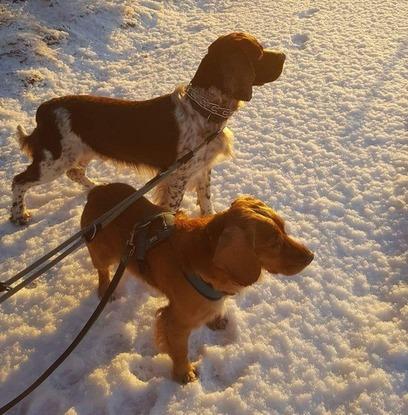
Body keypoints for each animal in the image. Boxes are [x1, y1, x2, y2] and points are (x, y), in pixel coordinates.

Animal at [9, 33, 284, 226]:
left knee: (74, 173)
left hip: (81, 152)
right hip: (53, 161)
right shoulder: (177, 176)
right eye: (258, 53)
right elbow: (172, 209)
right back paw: (19, 215)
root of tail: (45, 108)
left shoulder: (203, 167)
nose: (283, 55)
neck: (201, 108)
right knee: (19, 181)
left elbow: (206, 200)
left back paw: (97, 188)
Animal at [81, 184, 314, 386]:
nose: (311, 256)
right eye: (274, 243)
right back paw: (105, 290)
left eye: (284, 228)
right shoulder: (174, 321)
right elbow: (180, 351)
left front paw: (215, 320)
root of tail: (96, 190)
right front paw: (184, 373)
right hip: (102, 254)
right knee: (102, 271)